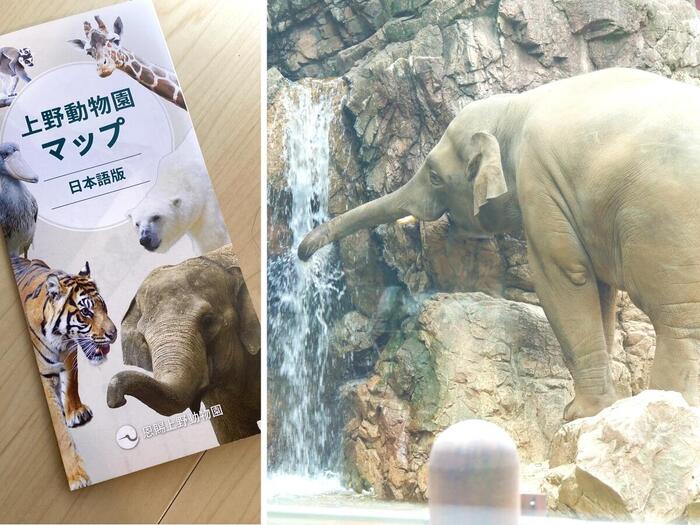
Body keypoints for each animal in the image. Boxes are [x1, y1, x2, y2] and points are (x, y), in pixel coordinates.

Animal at [298, 67, 700, 421]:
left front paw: (577, 415)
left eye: (434, 175)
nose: (302, 254)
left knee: (678, 324)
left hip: (663, 221)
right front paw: (597, 408)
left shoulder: (539, 181)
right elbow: (599, 291)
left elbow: (564, 277)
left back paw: (670, 400)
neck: (514, 108)